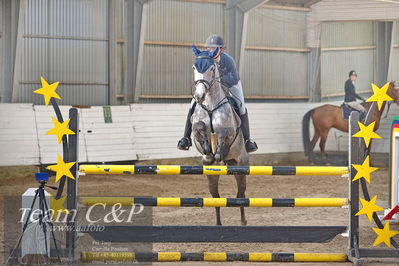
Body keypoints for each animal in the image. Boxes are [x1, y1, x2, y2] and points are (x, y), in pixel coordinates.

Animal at [190, 45, 248, 224]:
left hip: (240, 164)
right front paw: (208, 149)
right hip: (211, 174)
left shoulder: (229, 131)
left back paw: (243, 221)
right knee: (215, 197)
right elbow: (199, 127)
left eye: (211, 68)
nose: (199, 96)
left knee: (241, 194)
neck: (210, 105)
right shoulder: (196, 129)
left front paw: (218, 151)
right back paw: (218, 223)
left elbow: (223, 133)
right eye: (194, 67)